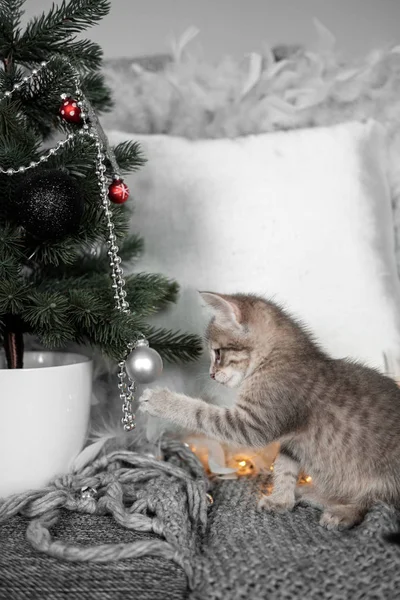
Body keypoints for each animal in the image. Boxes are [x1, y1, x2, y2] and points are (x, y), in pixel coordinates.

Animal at [139, 292, 400, 528]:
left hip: (384, 481)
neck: (275, 360)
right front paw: (281, 499)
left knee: (375, 503)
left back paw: (341, 512)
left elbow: (201, 413)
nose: (211, 374)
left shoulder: (253, 424)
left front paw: (161, 401)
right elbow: (284, 468)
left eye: (218, 353)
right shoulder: (290, 443)